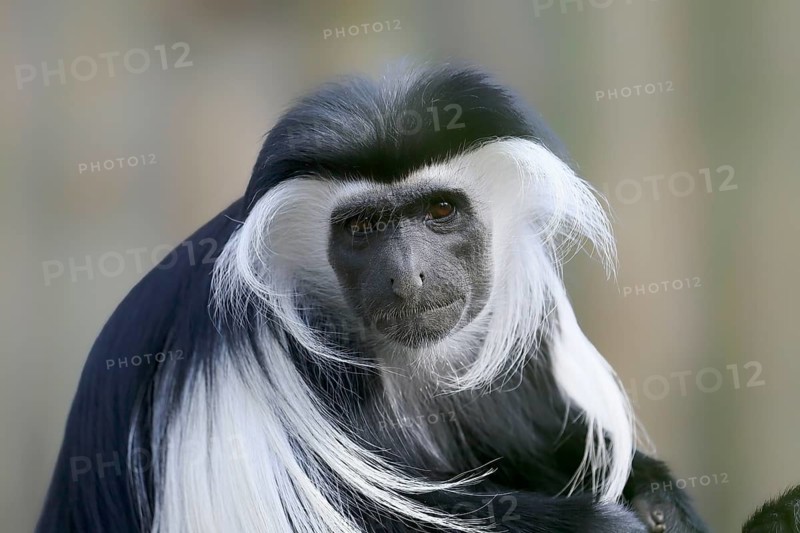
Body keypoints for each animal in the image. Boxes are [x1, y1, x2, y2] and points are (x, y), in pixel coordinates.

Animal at [37, 63, 726, 532]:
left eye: (440, 211)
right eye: (363, 227)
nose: (408, 276)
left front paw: (658, 502)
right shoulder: (272, 349)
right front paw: (606, 521)